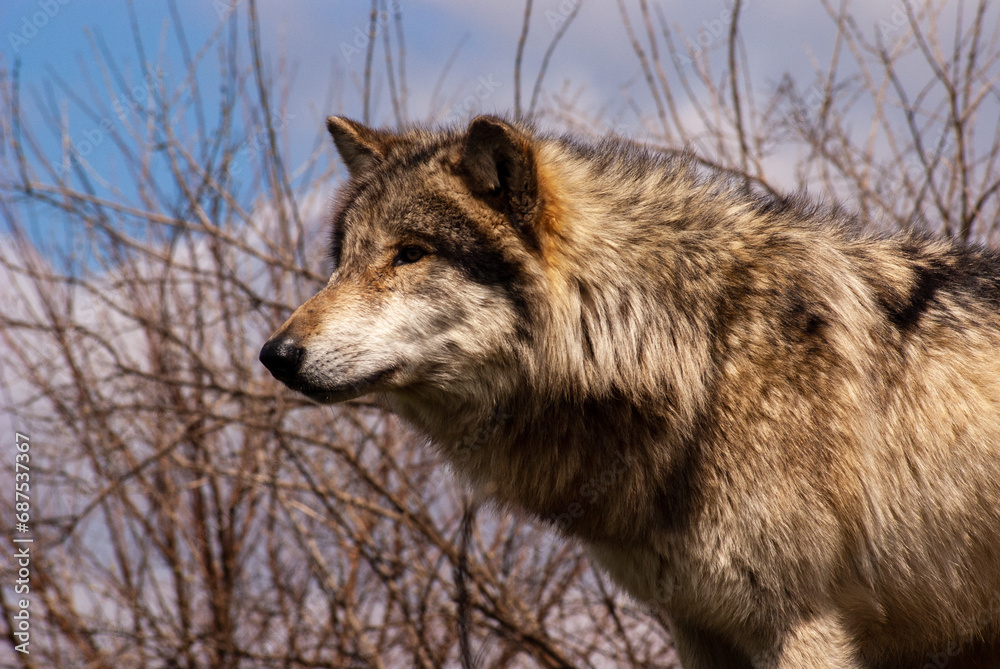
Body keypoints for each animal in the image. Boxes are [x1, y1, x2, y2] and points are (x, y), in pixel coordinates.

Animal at [260, 115, 1000, 668]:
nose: (275, 355)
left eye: (410, 253)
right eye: (343, 262)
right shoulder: (700, 628)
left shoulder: (802, 623)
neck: (698, 352)